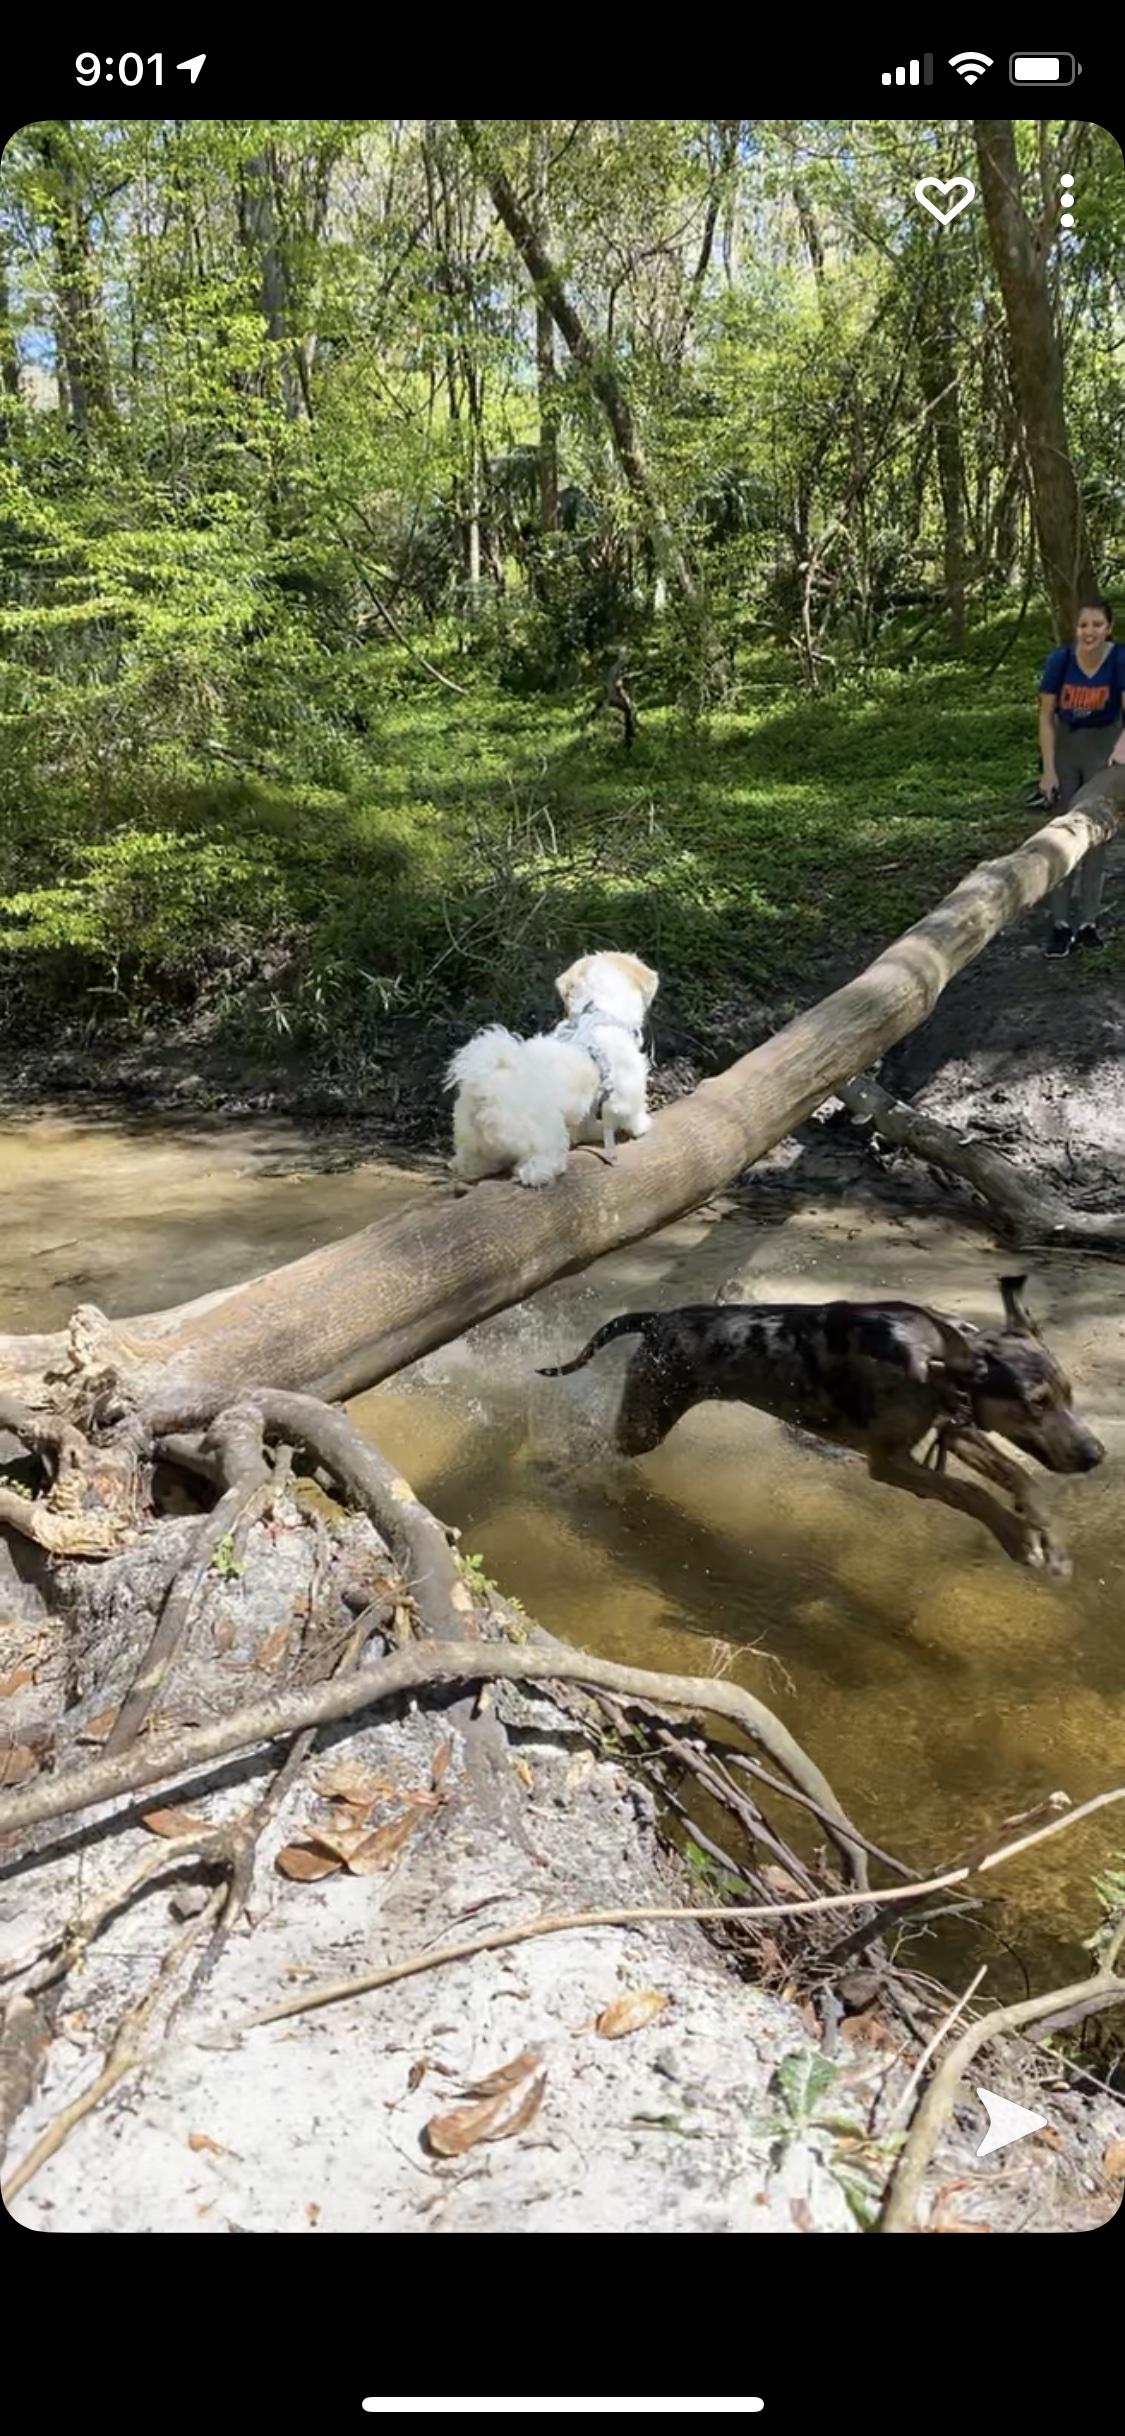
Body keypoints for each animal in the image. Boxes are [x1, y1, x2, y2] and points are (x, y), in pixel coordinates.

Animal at [445, 945, 657, 1183]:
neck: (597, 1012)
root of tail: (486, 1088)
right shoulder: (626, 1085)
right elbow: (633, 1109)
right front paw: (642, 1125)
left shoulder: (589, 1099)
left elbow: (585, 1121)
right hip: (543, 1132)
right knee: (535, 1165)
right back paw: (547, 1171)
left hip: (469, 1137)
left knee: (473, 1160)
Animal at [540, 1276, 1100, 1578]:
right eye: (1035, 1403)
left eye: (1069, 1395)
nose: (1096, 1454)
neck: (933, 1360)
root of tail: (659, 1319)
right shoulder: (889, 1462)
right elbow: (971, 1493)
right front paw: (1019, 1540)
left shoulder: (954, 1427)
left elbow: (1018, 1475)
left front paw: (1049, 1540)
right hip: (647, 1419)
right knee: (598, 1441)